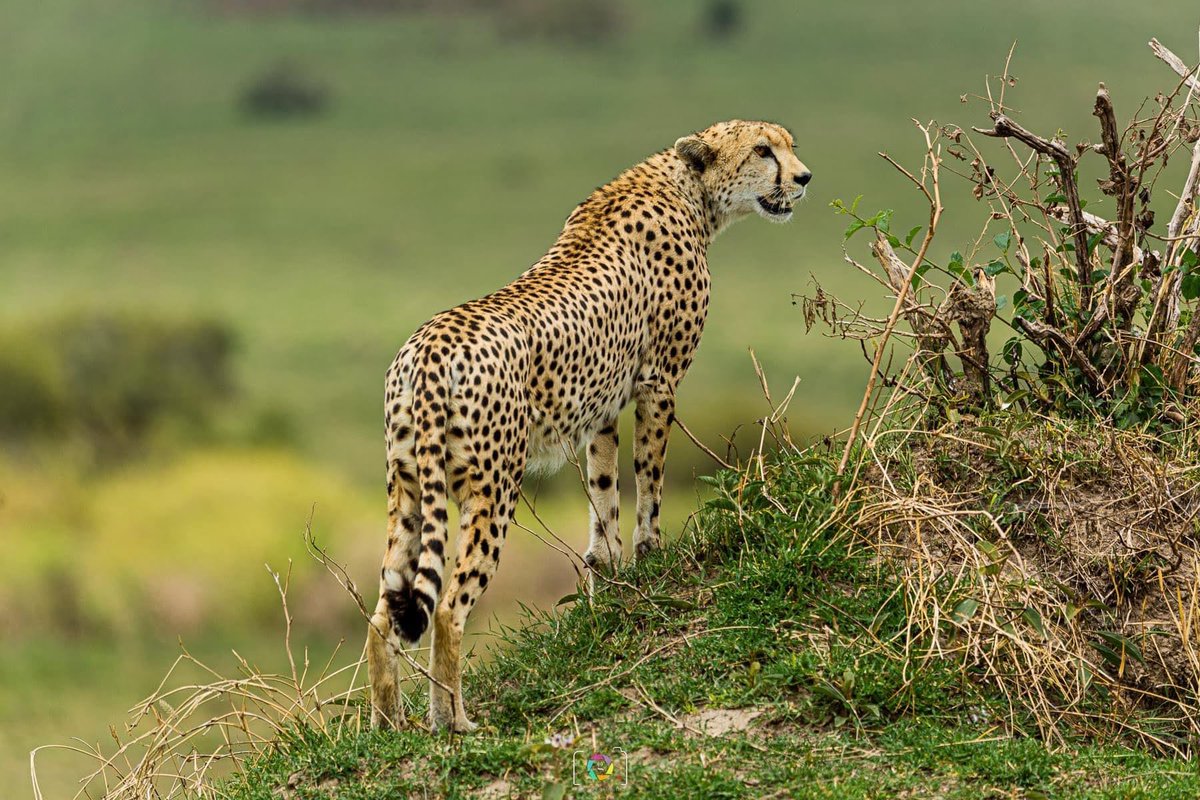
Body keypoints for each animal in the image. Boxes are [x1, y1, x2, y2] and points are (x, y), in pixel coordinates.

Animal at [367, 118, 816, 734]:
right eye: (762, 150)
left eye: (789, 144)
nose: (804, 177)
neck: (687, 189)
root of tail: (427, 348)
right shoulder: (658, 383)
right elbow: (649, 482)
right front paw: (651, 556)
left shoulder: (600, 410)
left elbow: (603, 499)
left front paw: (609, 576)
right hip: (492, 489)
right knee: (448, 607)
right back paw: (454, 722)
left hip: (407, 486)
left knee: (383, 614)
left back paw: (388, 727)